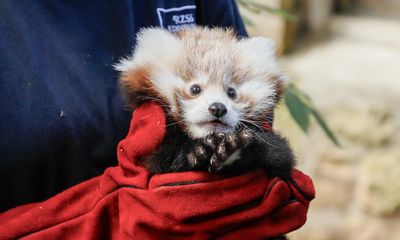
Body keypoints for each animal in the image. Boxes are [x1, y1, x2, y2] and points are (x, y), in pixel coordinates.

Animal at [115, 27, 294, 179]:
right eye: (195, 89)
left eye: (232, 92)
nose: (218, 108)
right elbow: (161, 161)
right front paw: (201, 149)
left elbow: (281, 154)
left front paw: (235, 149)